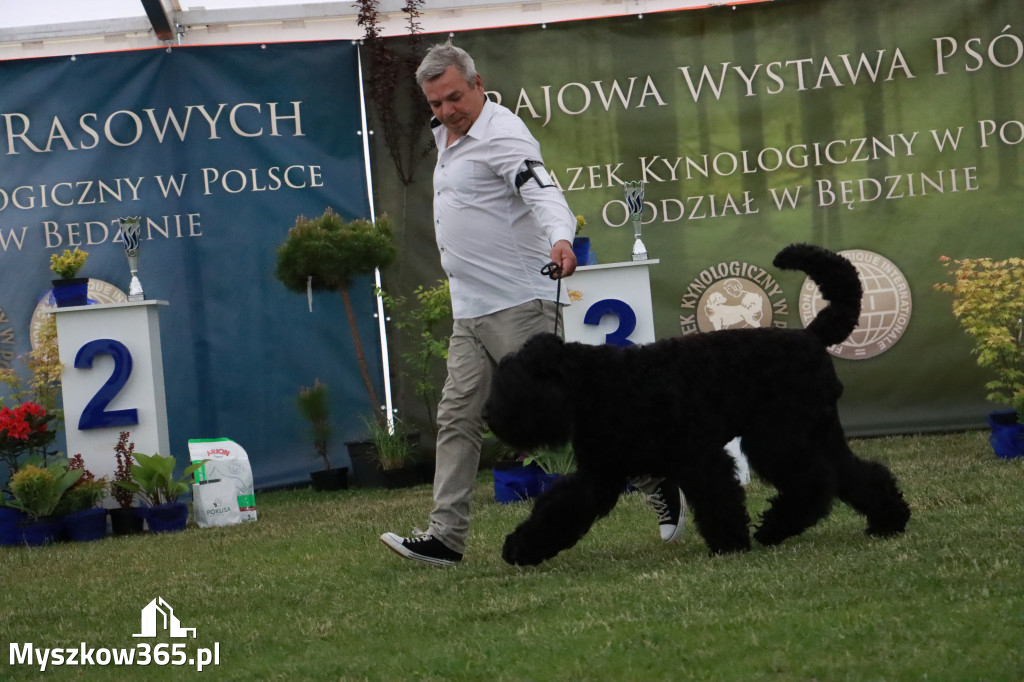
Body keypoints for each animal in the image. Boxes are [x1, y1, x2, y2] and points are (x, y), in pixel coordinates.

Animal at [483, 242, 909, 561]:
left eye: (512, 384)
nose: (489, 415)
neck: (596, 384)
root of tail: (811, 336)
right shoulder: (600, 472)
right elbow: (560, 506)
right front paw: (521, 547)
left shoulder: (698, 456)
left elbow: (717, 495)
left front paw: (730, 544)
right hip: (816, 433)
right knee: (855, 474)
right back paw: (889, 519)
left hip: (779, 438)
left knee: (815, 481)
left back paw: (775, 528)